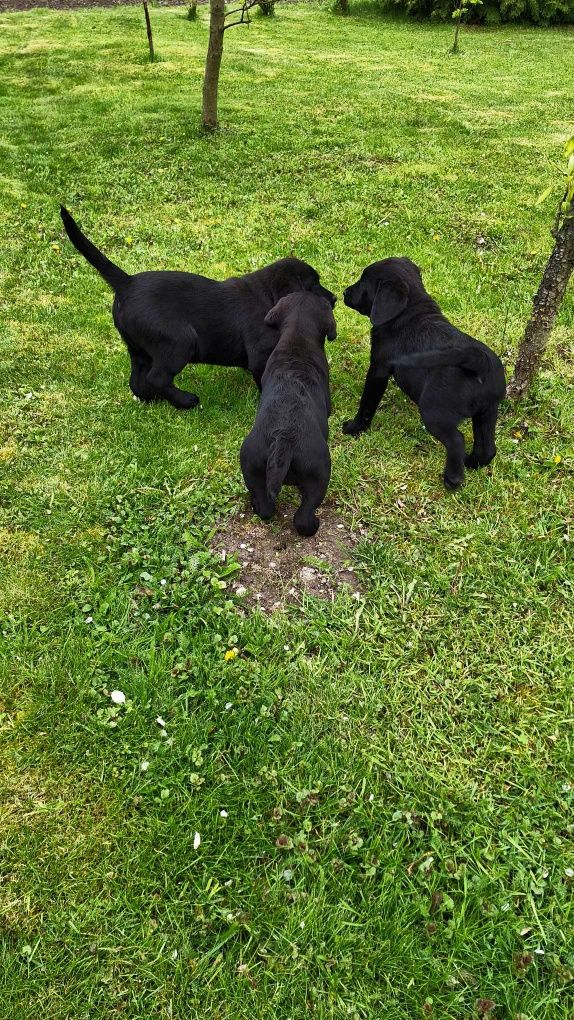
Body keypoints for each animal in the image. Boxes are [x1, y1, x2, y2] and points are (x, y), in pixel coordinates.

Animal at [58, 207, 336, 410]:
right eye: (313, 285)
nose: (334, 298)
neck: (267, 296)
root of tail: (126, 282)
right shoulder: (260, 354)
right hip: (180, 341)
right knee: (157, 376)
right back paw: (186, 401)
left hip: (137, 348)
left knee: (137, 380)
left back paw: (156, 400)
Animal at [239, 291, 336, 538]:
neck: (297, 339)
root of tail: (283, 439)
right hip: (319, 472)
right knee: (302, 516)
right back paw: (314, 524)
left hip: (251, 465)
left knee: (265, 507)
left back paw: (256, 505)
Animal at [344, 259, 505, 489]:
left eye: (363, 282)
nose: (344, 292)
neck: (409, 312)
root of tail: (479, 364)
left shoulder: (378, 369)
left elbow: (367, 405)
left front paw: (354, 428)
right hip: (487, 411)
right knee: (488, 449)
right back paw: (470, 463)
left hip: (433, 412)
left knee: (456, 440)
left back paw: (452, 480)